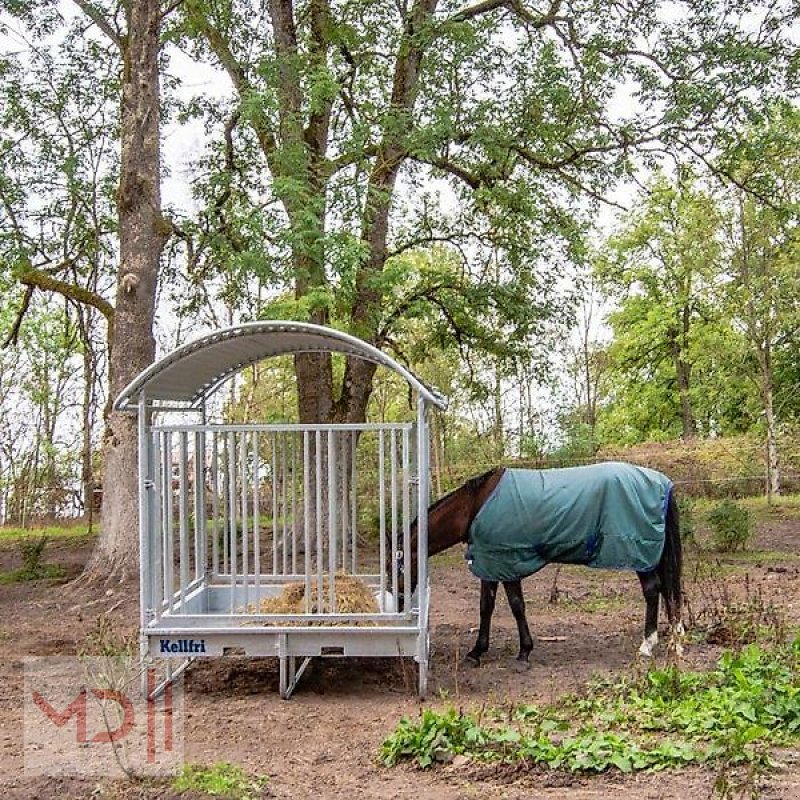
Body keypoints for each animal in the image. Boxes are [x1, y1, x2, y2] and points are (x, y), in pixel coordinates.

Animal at [396, 460, 684, 664]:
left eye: (395, 567)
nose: (398, 605)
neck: (475, 508)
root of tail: (662, 482)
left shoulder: (505, 562)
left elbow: (515, 606)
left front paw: (523, 652)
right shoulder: (491, 564)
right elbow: (486, 607)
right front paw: (478, 652)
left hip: (640, 554)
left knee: (652, 591)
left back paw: (647, 645)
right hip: (653, 556)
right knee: (667, 590)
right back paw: (675, 638)